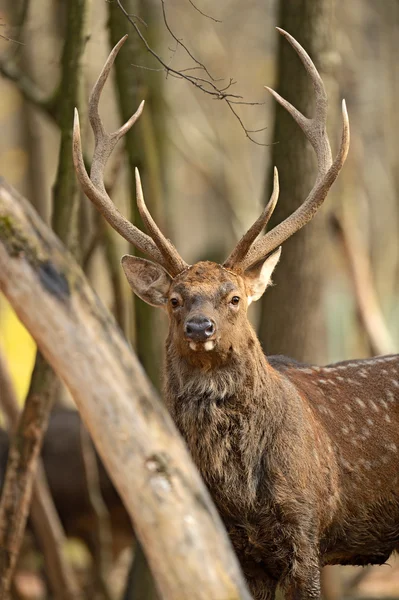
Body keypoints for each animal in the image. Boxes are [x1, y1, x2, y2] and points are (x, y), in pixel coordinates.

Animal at [72, 29, 399, 600]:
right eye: (175, 299)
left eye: (235, 298)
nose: (199, 326)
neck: (241, 494)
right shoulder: (240, 548)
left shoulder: (307, 528)